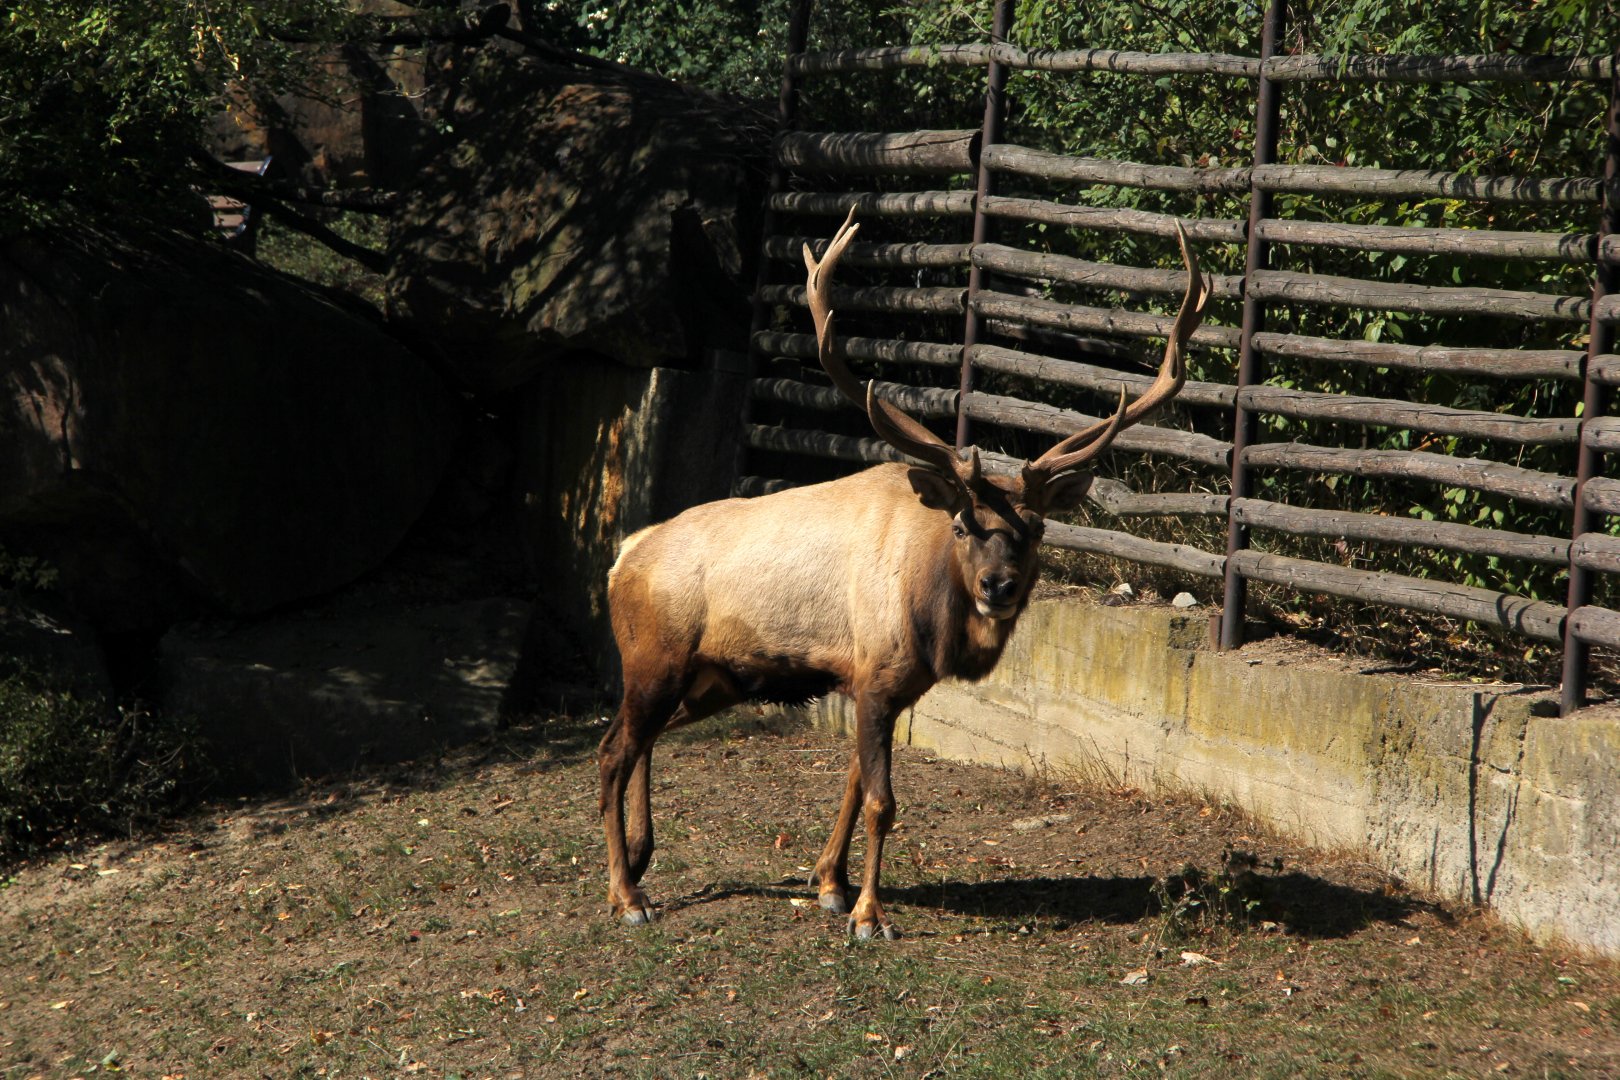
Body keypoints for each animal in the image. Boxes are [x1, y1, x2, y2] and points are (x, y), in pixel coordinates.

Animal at [600, 209, 1210, 939]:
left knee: (635, 739)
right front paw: (869, 914)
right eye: (963, 526)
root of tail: (622, 557)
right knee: (612, 749)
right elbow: (881, 801)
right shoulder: (874, 675)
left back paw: (642, 858)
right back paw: (627, 895)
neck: (932, 619)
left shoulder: (884, 686)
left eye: (1036, 529)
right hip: (654, 657)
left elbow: (855, 785)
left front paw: (829, 885)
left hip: (710, 677)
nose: (998, 587)